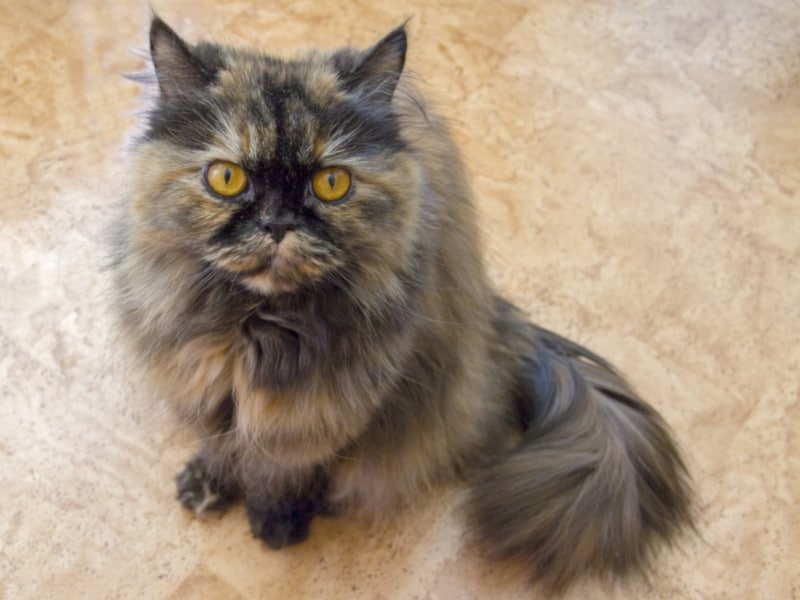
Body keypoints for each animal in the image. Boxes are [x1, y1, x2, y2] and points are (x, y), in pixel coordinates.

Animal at [112, 16, 692, 592]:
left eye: (332, 183)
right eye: (226, 178)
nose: (277, 224)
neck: (257, 326)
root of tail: (496, 324)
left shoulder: (321, 412)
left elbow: (284, 468)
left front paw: (278, 518)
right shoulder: (199, 382)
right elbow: (221, 442)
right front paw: (211, 481)